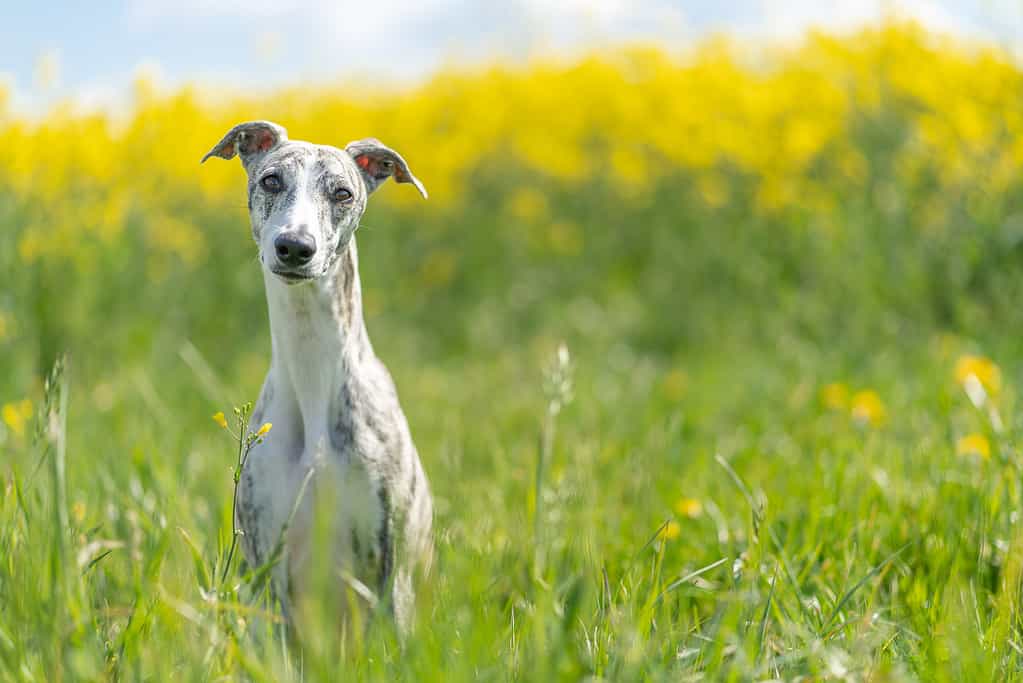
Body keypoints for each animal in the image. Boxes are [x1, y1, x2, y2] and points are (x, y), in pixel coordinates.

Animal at [203, 121, 431, 629]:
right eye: (271, 181)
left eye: (342, 192)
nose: (294, 247)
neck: (312, 375)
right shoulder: (268, 572)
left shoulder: (392, 572)